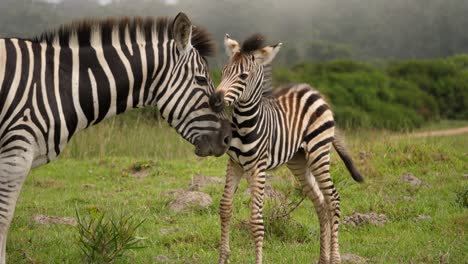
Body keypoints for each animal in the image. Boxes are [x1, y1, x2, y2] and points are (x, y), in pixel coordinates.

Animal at [210, 34, 364, 262]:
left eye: (243, 76)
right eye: (223, 72)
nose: (214, 100)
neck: (245, 123)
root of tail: (314, 91)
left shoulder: (258, 167)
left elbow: (256, 220)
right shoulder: (234, 164)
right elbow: (225, 208)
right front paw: (223, 258)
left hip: (319, 153)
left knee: (333, 199)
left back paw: (335, 258)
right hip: (299, 161)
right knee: (320, 202)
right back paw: (322, 259)